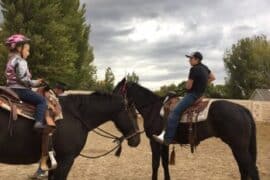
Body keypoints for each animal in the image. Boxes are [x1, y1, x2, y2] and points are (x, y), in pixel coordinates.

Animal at [113, 78, 260, 180]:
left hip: (239, 147)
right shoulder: (164, 143)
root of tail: (242, 109)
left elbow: (155, 164)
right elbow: (164, 163)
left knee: (252, 171)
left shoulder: (154, 142)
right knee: (243, 170)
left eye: (116, 91)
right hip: (238, 148)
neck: (152, 108)